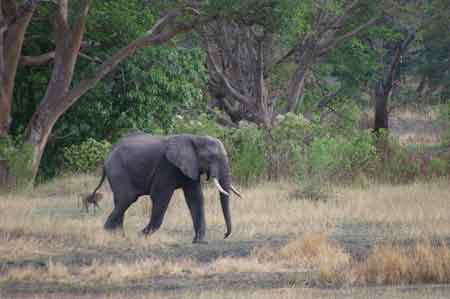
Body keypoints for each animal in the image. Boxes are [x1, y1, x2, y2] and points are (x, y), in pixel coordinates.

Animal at [89, 134, 241, 244]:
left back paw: (119, 235)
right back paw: (109, 233)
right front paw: (141, 235)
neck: (194, 138)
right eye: (210, 158)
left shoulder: (191, 166)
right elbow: (161, 197)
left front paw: (199, 242)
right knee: (127, 198)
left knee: (121, 201)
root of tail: (107, 155)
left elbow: (195, 198)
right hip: (118, 169)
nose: (225, 235)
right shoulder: (166, 167)